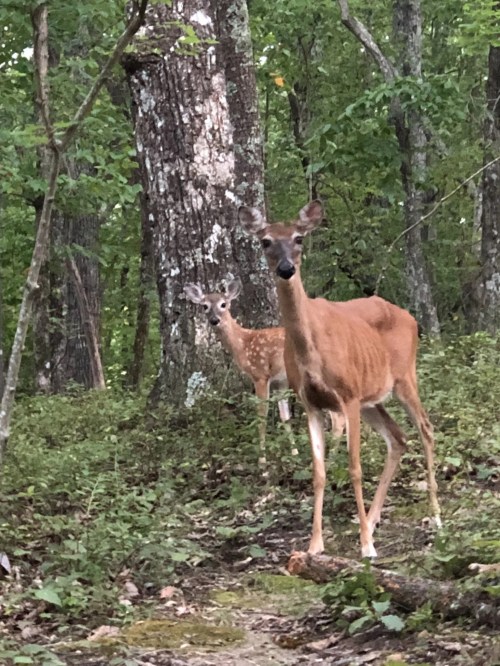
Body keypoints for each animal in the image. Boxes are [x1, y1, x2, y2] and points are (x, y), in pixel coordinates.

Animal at [183, 278, 299, 466]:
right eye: (205, 306)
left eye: (223, 304)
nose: (214, 320)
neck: (243, 344)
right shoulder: (280, 382)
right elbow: (285, 417)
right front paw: (295, 453)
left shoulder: (260, 374)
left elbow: (261, 417)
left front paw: (262, 460)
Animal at [238, 201, 441, 558]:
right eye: (265, 241)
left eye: (299, 238)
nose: (286, 268)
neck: (310, 350)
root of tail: (409, 317)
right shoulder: (312, 402)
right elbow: (318, 473)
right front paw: (314, 544)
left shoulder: (347, 396)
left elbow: (355, 468)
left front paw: (366, 547)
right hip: (371, 398)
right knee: (398, 438)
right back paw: (371, 520)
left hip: (403, 377)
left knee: (426, 428)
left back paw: (434, 515)